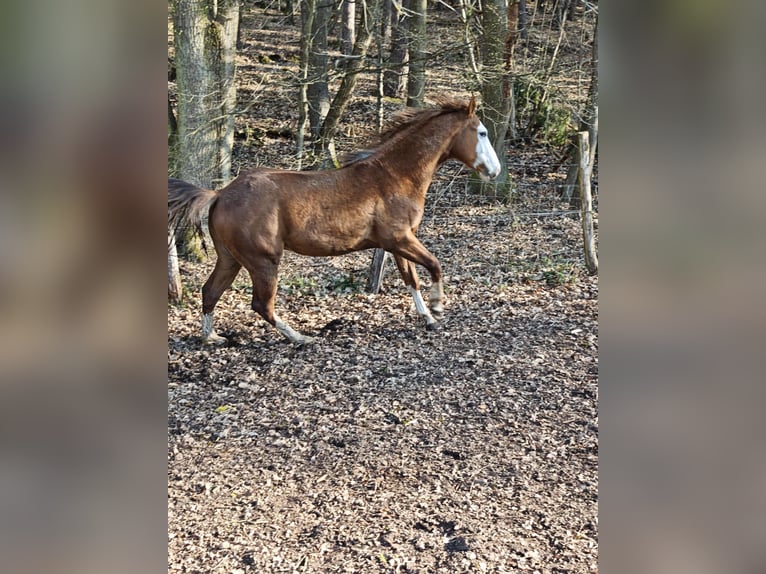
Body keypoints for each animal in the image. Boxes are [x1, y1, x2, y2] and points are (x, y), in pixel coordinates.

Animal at [168, 95, 501, 345]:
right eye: (482, 132)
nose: (495, 171)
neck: (395, 176)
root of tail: (220, 194)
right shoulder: (400, 238)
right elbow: (434, 265)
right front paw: (437, 306)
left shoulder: (397, 243)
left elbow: (412, 278)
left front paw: (428, 318)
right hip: (263, 260)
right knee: (261, 304)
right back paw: (301, 338)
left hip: (231, 258)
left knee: (210, 291)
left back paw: (212, 338)